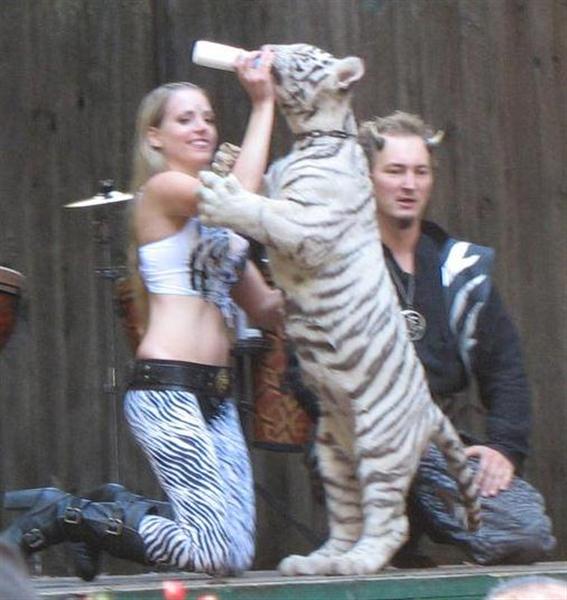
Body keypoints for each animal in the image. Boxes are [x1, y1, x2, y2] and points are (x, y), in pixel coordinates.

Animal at [197, 43, 482, 576]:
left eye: (300, 55)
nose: (265, 51)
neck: (312, 135)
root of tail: (428, 410)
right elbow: (261, 189)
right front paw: (224, 164)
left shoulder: (306, 221)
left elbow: (264, 211)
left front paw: (223, 194)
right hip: (332, 449)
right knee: (348, 516)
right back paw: (316, 562)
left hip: (380, 443)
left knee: (390, 522)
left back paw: (358, 564)